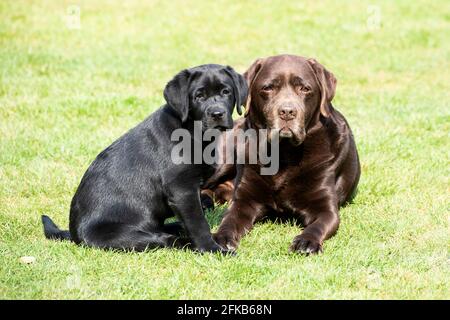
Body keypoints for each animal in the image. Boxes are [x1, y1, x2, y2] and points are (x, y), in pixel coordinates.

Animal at [41, 63, 246, 254]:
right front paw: (212, 249)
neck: (192, 131)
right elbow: (198, 223)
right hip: (127, 235)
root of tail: (73, 232)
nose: (217, 114)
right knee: (165, 239)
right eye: (199, 96)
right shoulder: (182, 189)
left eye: (226, 92)